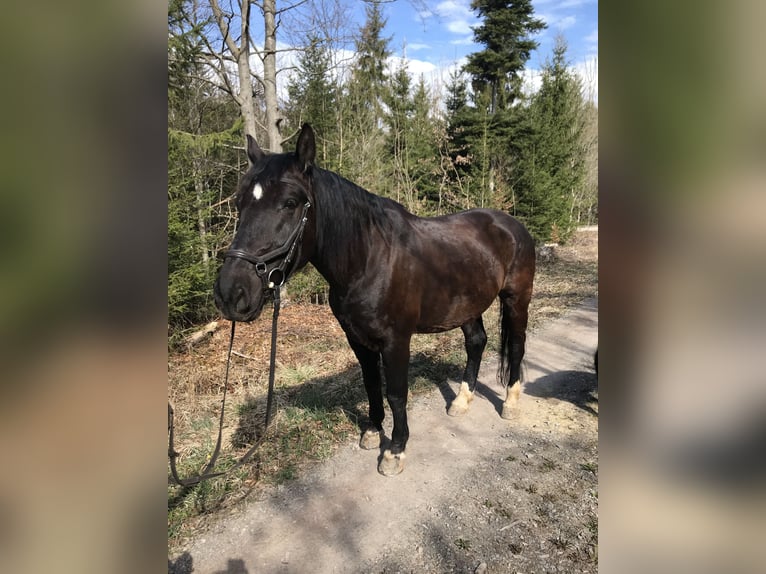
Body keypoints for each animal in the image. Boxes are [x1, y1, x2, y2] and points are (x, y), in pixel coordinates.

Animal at [216, 125, 536, 476]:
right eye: (239, 202)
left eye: (290, 203)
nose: (231, 293)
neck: (368, 259)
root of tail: (511, 225)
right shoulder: (357, 338)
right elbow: (371, 384)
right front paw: (372, 431)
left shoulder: (396, 341)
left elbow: (396, 393)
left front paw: (395, 450)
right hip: (467, 306)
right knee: (476, 342)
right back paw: (461, 401)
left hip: (517, 299)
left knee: (516, 345)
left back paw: (510, 402)